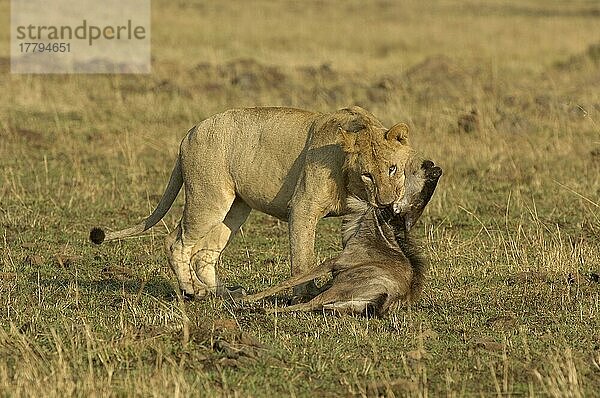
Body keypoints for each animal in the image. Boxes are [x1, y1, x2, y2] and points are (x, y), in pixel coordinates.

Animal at [89, 105, 414, 298]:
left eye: (392, 169)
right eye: (367, 174)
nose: (386, 203)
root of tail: (189, 134)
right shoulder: (302, 208)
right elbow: (302, 258)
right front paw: (304, 296)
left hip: (235, 208)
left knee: (205, 253)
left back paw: (223, 293)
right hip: (208, 198)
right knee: (176, 242)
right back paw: (193, 290)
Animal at [241, 157, 442, 316]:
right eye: (426, 189)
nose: (435, 168)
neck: (377, 232)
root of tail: (395, 296)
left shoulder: (333, 262)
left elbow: (291, 280)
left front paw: (249, 297)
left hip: (340, 290)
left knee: (311, 303)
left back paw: (260, 309)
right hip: (344, 303)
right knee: (313, 305)